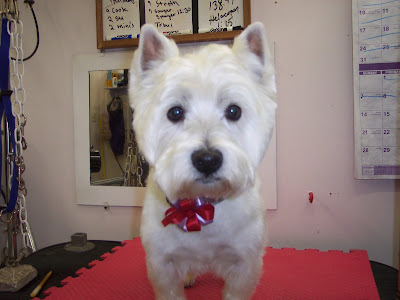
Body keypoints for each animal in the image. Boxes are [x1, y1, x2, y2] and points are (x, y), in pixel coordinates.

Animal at [130, 22, 276, 298]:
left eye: (234, 110)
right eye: (175, 112)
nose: (207, 160)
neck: (201, 205)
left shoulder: (245, 265)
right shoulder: (162, 266)